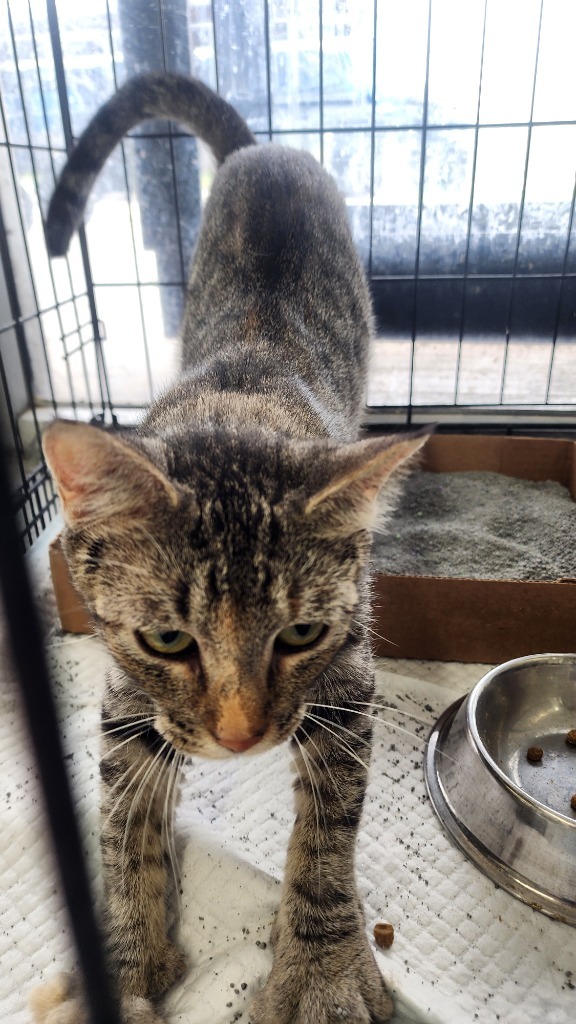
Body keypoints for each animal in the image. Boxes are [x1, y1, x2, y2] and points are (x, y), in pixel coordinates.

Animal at [32, 74, 426, 1024]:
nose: (242, 737)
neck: (238, 395)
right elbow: (119, 821)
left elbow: (327, 833)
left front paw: (321, 966)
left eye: (300, 634)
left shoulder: (348, 680)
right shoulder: (126, 699)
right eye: (168, 639)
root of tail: (264, 150)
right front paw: (122, 962)